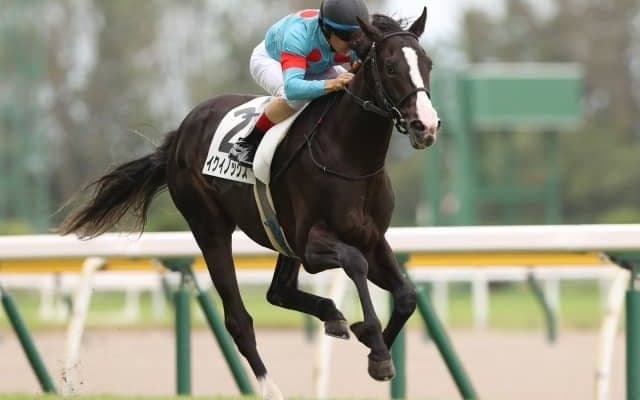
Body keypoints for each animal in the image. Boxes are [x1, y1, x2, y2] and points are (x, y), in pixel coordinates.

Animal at [60, 8, 440, 399]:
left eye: (427, 63)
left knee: (278, 292)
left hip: (280, 238)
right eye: (391, 67)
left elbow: (407, 295)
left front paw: (374, 346)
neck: (350, 158)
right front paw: (375, 343)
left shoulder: (372, 238)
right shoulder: (312, 244)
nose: (425, 125)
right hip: (210, 229)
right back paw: (270, 387)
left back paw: (332, 316)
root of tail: (180, 132)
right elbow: (355, 263)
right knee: (238, 319)